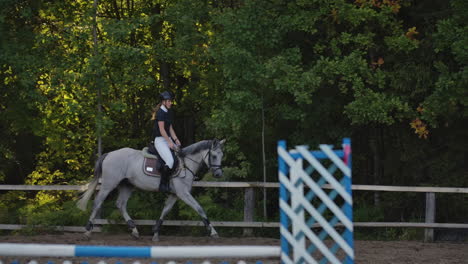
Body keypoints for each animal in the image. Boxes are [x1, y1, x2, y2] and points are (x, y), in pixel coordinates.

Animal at [76, 138, 225, 241]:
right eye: (214, 156)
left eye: (221, 155)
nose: (218, 174)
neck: (185, 164)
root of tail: (109, 154)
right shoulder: (183, 194)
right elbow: (199, 209)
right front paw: (213, 232)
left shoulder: (175, 195)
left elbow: (165, 211)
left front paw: (156, 232)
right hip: (108, 184)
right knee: (97, 203)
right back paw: (88, 232)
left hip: (127, 185)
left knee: (120, 204)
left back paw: (134, 230)